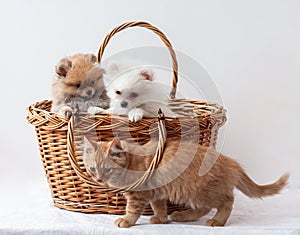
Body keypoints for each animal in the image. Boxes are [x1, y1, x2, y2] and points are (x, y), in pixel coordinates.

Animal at [82, 138, 288, 228]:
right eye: (92, 169)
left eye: (107, 169)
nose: (98, 179)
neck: (133, 162)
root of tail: (231, 162)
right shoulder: (156, 194)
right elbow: (159, 207)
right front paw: (161, 219)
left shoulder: (138, 195)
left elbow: (132, 210)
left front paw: (126, 221)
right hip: (196, 194)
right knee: (204, 208)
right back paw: (182, 216)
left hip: (201, 192)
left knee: (227, 202)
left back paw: (217, 221)